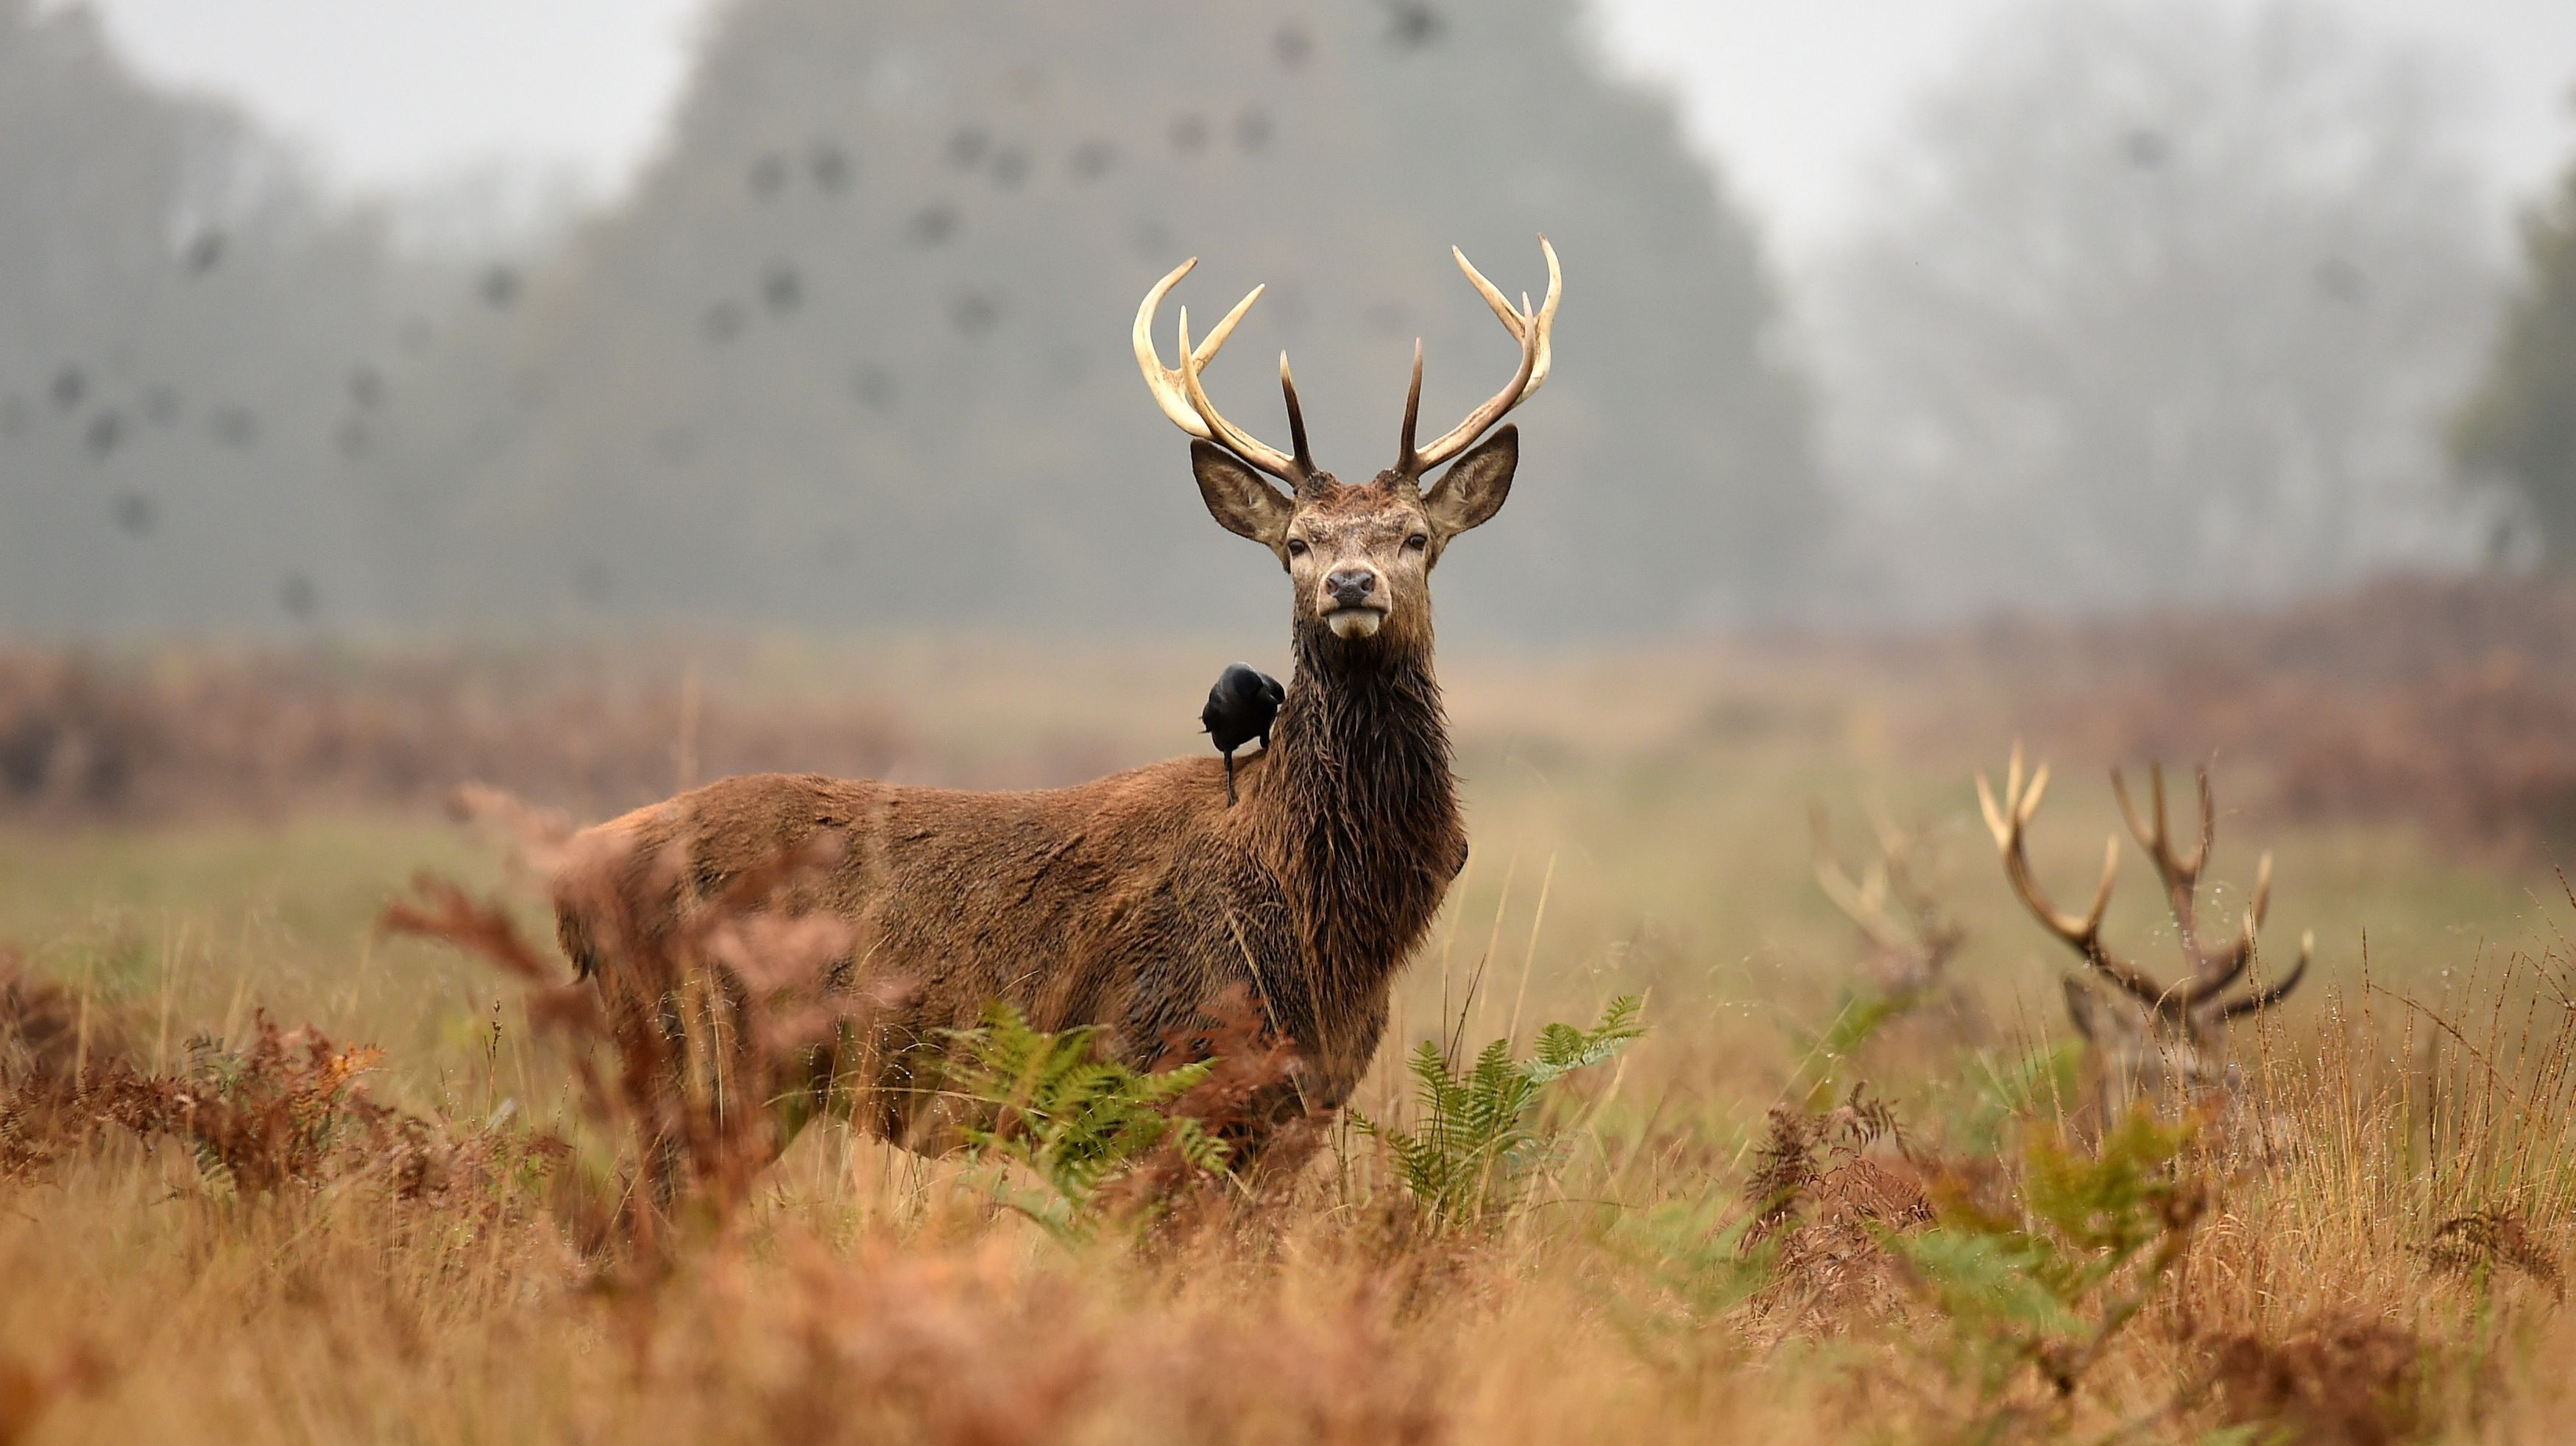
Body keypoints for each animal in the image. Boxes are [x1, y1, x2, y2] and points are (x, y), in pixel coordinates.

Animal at [550, 240, 1562, 1165]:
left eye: (1415, 535)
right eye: (1297, 544)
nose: (1351, 583)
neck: (1317, 914)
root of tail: (574, 877)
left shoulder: (1298, 1110)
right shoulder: (1152, 1065)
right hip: (702, 1054)